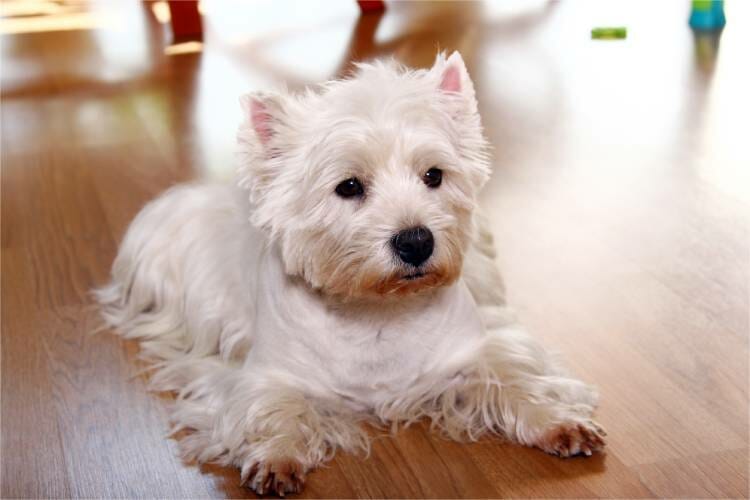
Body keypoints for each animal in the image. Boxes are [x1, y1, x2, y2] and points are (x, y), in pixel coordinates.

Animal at [97, 51, 608, 496]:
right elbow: (270, 407)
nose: (416, 242)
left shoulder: (472, 352)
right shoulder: (264, 374)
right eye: (348, 186)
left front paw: (559, 422)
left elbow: (514, 376)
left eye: (434, 175)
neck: (377, 314)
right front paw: (276, 457)